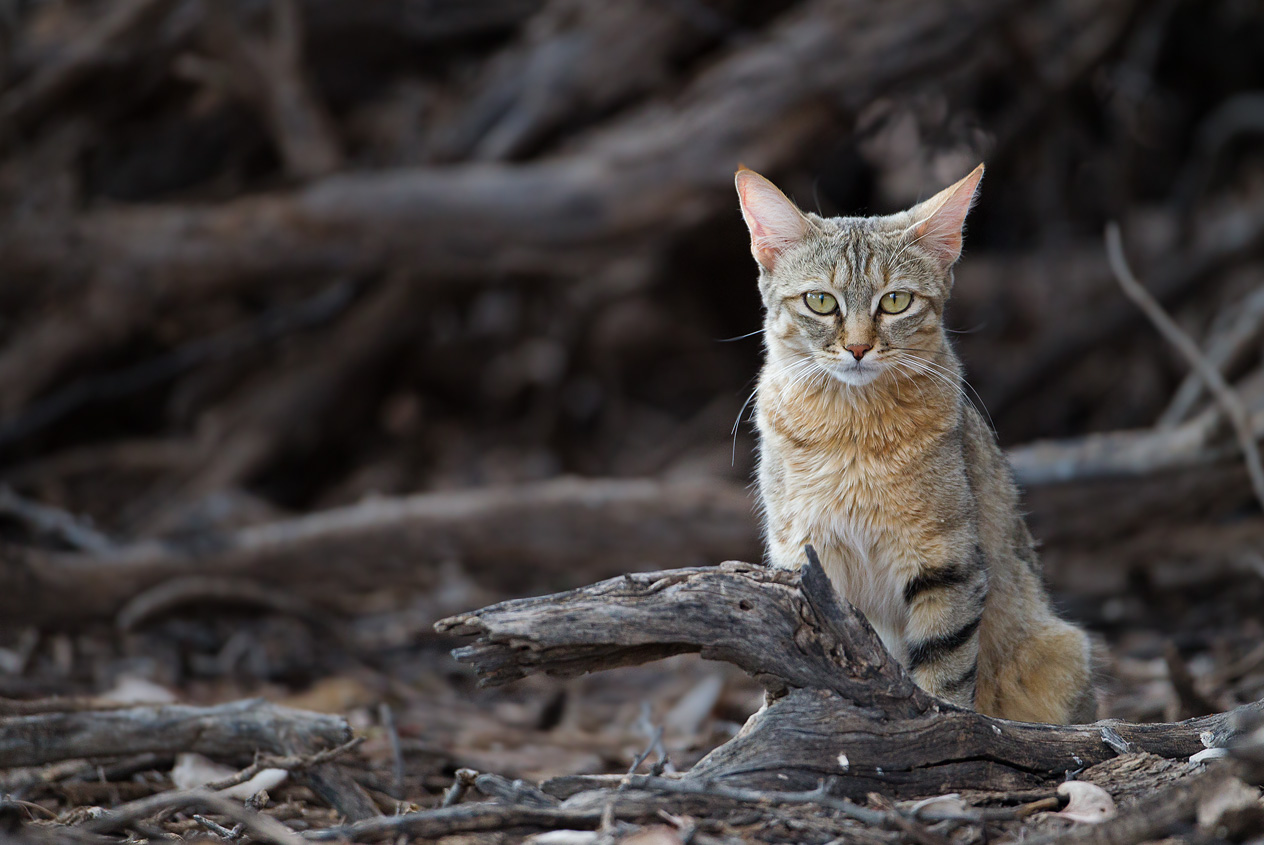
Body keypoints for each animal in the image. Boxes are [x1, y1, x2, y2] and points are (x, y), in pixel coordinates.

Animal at [733, 164, 1097, 727]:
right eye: (821, 301)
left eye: (895, 301)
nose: (858, 348)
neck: (852, 431)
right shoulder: (804, 560)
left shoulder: (943, 560)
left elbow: (944, 673)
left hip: (1061, 649)